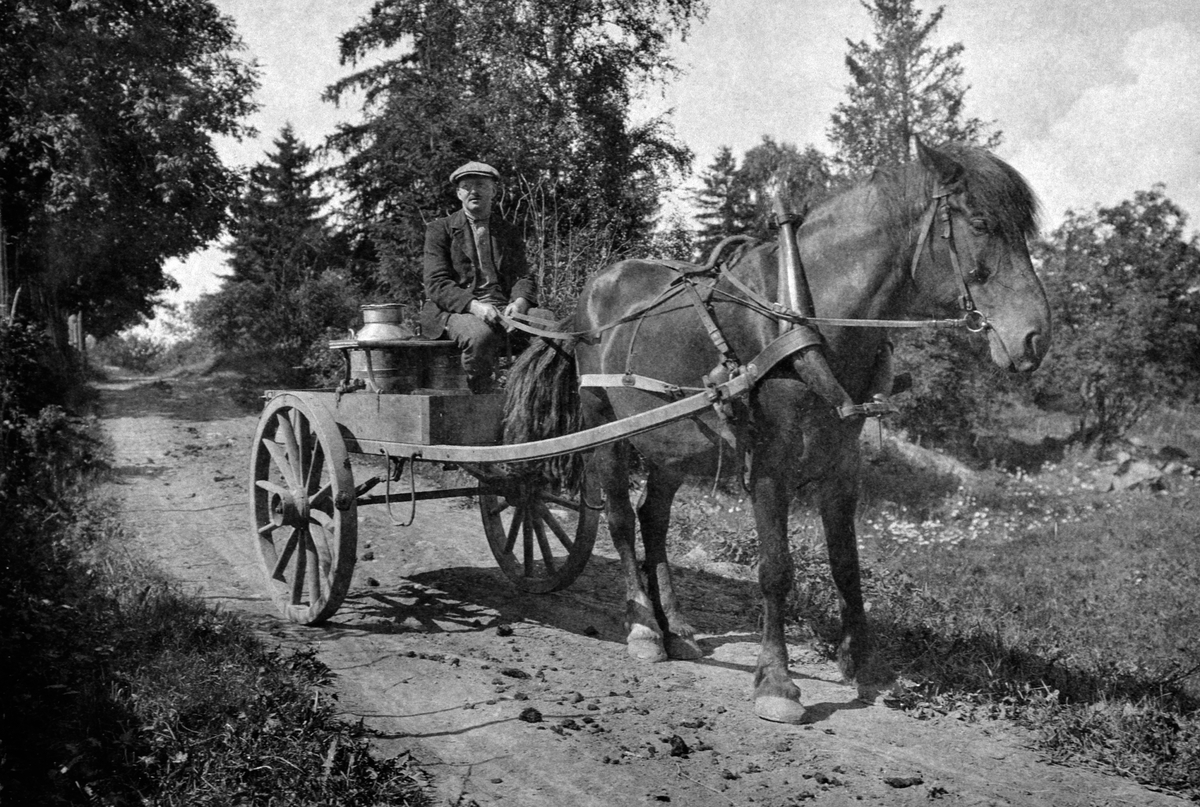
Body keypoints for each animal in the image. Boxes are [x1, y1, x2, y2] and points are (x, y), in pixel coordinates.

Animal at [501, 140, 1046, 725]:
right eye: (982, 223)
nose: (1036, 337)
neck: (805, 319)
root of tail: (593, 293)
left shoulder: (842, 465)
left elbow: (846, 564)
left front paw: (862, 663)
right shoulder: (769, 464)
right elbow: (776, 570)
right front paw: (776, 681)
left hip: (673, 441)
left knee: (655, 520)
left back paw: (677, 626)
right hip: (604, 423)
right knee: (623, 520)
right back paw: (645, 628)